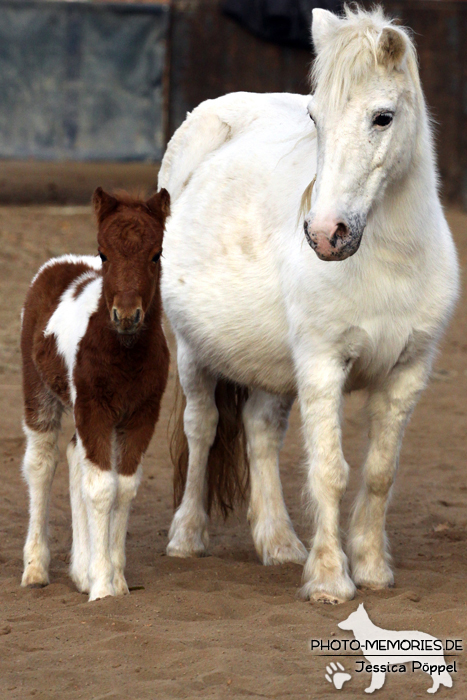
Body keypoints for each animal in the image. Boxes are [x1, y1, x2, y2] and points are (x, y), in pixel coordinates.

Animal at [20, 187, 170, 600]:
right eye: (104, 253)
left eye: (156, 254)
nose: (126, 315)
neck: (123, 354)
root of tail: (60, 263)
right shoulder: (95, 409)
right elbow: (102, 487)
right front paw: (103, 587)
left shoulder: (141, 415)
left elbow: (124, 487)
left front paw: (114, 578)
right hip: (40, 392)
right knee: (42, 464)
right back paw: (36, 569)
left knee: (75, 456)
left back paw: (80, 570)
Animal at [159, 5, 458, 604]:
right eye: (315, 118)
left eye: (383, 117)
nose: (324, 234)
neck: (389, 263)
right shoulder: (323, 365)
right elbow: (329, 471)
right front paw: (329, 579)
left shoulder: (408, 371)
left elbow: (379, 471)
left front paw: (371, 568)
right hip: (192, 352)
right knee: (202, 428)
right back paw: (187, 536)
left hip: (271, 366)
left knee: (259, 431)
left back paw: (279, 545)